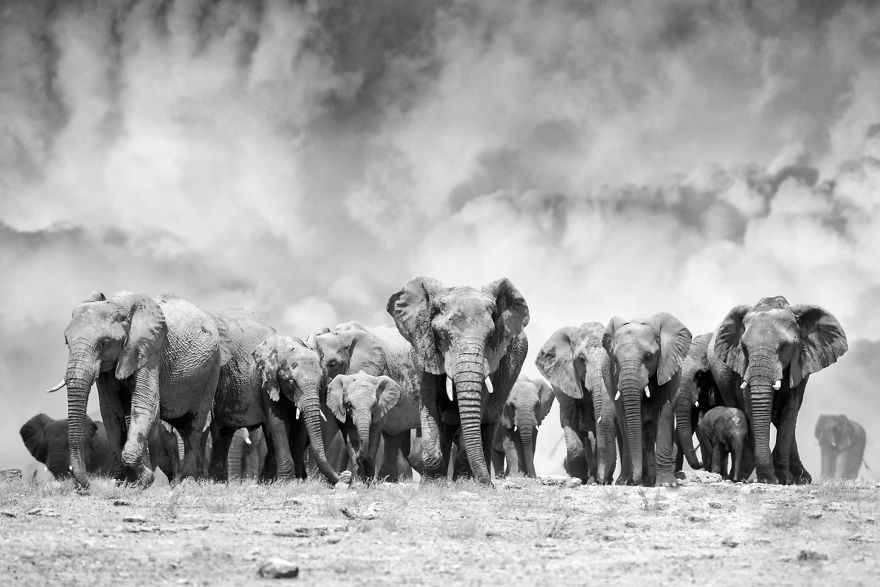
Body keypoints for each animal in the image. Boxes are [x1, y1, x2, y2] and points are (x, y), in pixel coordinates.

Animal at [47, 291, 223, 488]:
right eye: (66, 343)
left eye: (103, 343)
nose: (86, 485)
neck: (117, 306)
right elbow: (110, 413)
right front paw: (122, 482)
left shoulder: (150, 351)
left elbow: (146, 405)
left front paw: (144, 479)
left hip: (212, 370)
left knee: (194, 425)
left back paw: (187, 481)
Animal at [387, 276, 530, 485]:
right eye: (442, 335)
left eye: (490, 337)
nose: (491, 486)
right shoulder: (424, 351)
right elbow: (429, 404)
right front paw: (430, 485)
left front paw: (465, 482)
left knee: (489, 421)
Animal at [603, 313, 692, 486]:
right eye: (615, 360)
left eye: (649, 356)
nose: (633, 482)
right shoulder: (613, 376)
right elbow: (626, 417)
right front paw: (630, 481)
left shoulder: (667, 364)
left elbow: (665, 411)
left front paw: (667, 484)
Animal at [709, 296, 848, 484]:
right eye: (744, 348)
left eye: (783, 348)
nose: (769, 479)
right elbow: (751, 409)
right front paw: (767, 479)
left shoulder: (800, 364)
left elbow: (789, 411)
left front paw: (782, 479)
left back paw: (801, 479)